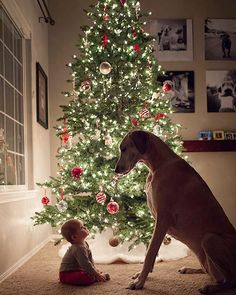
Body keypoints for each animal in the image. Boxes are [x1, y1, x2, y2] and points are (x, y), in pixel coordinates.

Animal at [115, 131, 236, 294]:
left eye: (124, 148)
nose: (115, 170)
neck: (158, 165)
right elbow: (149, 253)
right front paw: (141, 276)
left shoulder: (162, 219)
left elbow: (150, 254)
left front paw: (140, 282)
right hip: (204, 257)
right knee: (212, 273)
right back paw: (190, 270)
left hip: (210, 239)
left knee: (230, 280)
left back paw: (210, 287)